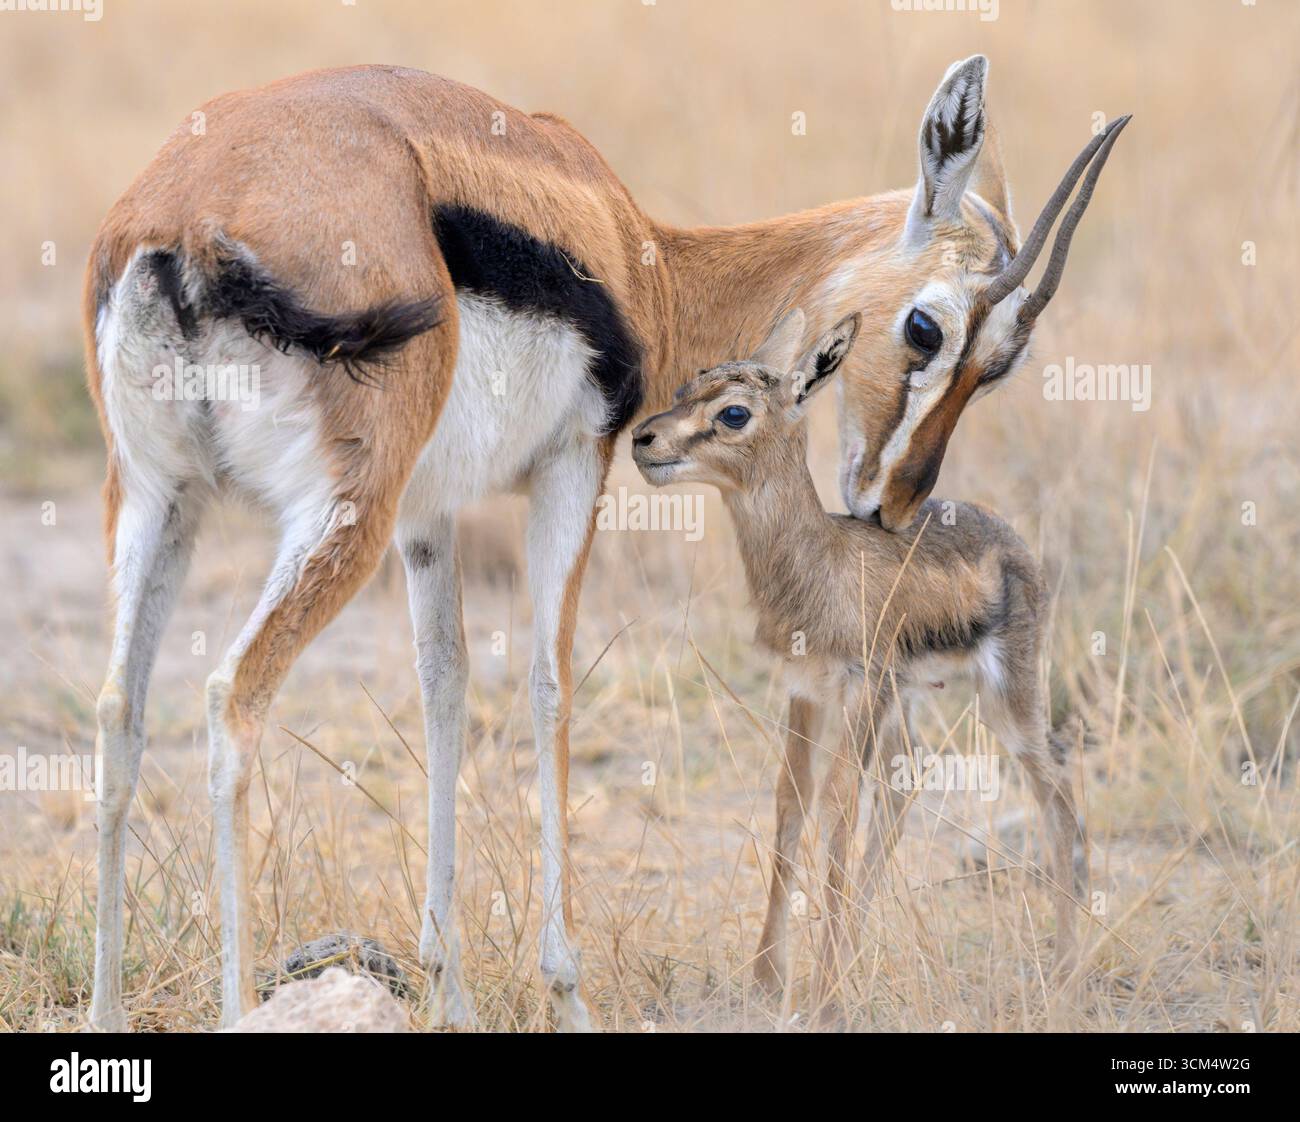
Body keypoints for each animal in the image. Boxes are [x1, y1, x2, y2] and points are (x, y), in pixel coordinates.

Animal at [631, 308, 1085, 1013]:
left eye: (734, 412)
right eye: (686, 387)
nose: (643, 439)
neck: (820, 565)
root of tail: (1011, 540)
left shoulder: (859, 687)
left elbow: (840, 809)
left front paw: (821, 997)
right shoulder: (806, 690)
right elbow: (792, 804)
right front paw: (770, 981)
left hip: (1005, 697)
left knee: (1055, 784)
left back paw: (1063, 970)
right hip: (909, 700)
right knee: (910, 777)